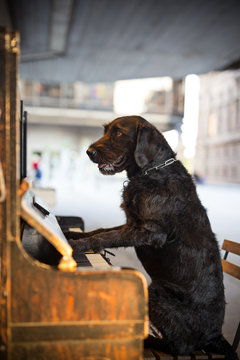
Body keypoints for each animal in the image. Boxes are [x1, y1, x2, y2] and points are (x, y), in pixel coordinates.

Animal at [66, 115, 237, 358]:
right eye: (106, 130)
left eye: (119, 133)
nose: (89, 151)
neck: (152, 170)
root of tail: (215, 336)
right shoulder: (131, 224)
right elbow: (102, 231)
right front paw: (71, 232)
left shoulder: (148, 232)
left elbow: (106, 237)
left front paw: (76, 244)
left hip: (158, 294)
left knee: (178, 345)